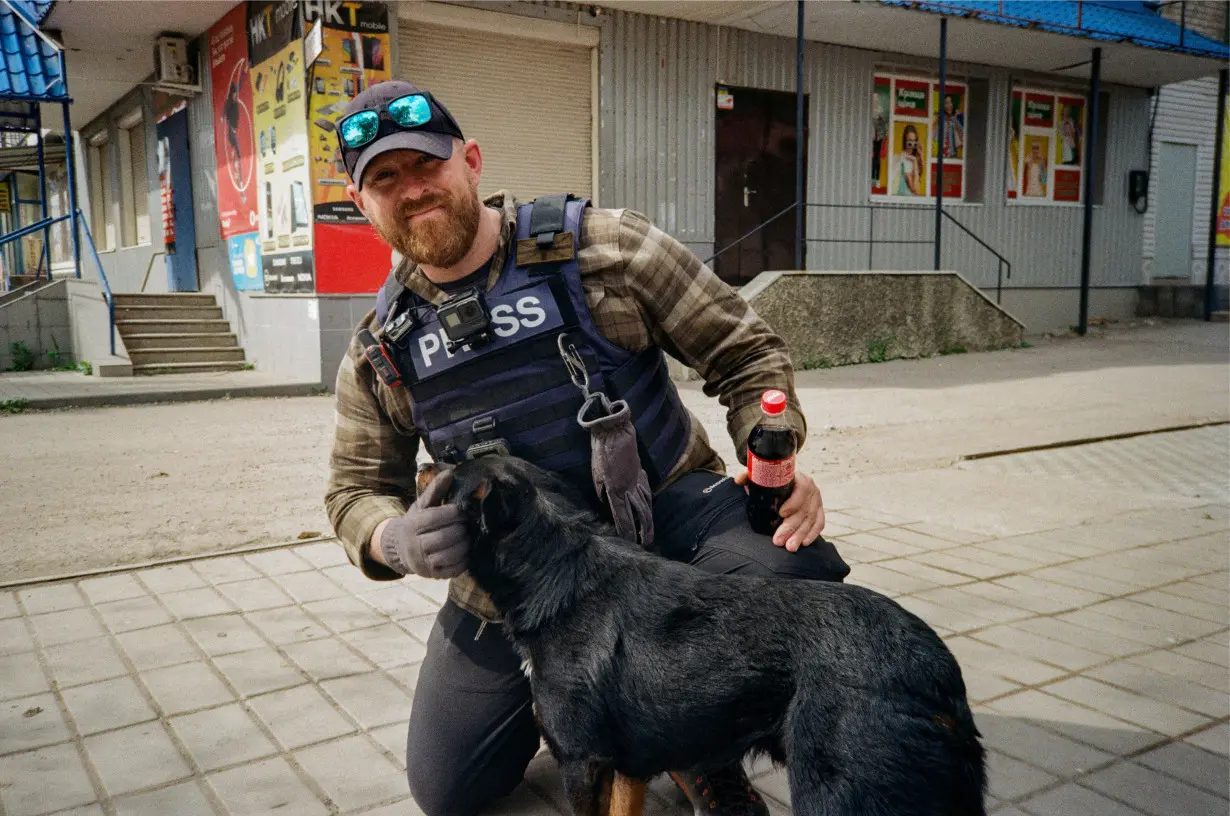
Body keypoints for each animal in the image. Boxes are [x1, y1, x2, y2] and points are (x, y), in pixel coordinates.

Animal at [432, 455, 988, 812]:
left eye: (448, 480)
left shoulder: (581, 761)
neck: (555, 567)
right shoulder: (622, 766)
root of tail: (940, 676)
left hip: (841, 792)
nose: (426, 465)